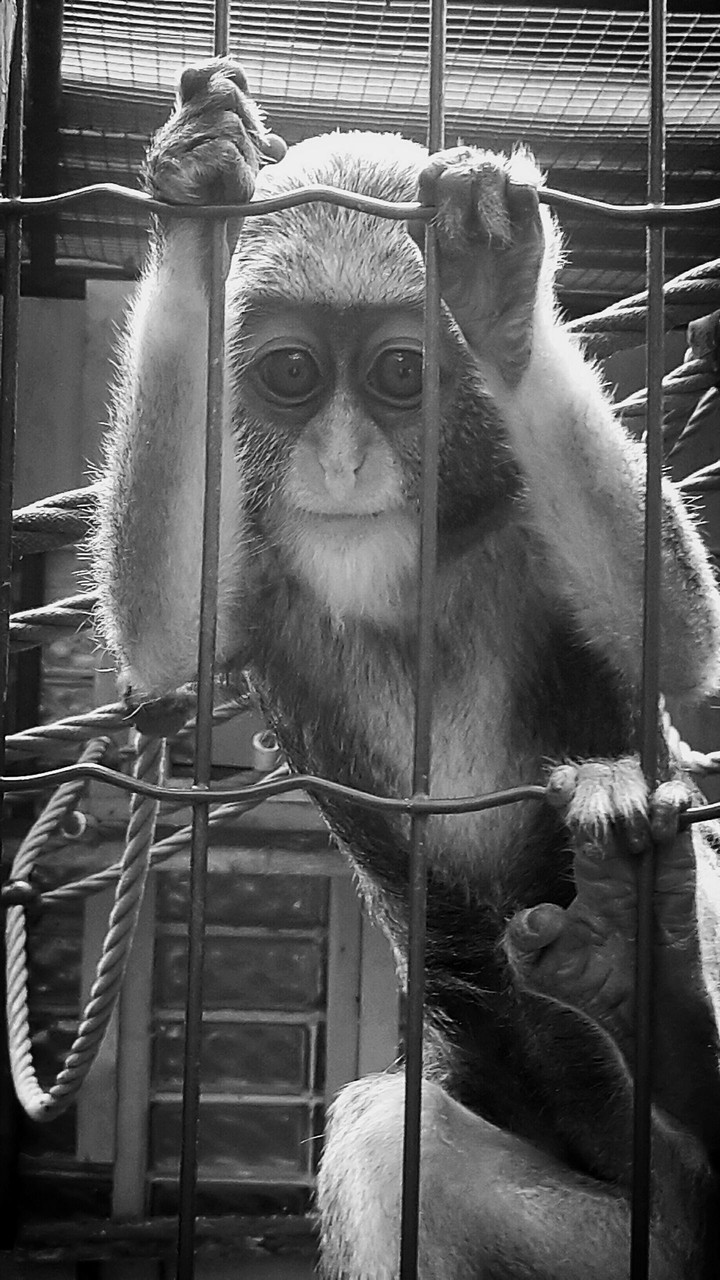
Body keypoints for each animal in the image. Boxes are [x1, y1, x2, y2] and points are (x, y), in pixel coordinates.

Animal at [91, 60, 720, 1278]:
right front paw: (197, 197)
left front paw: (501, 297)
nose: (342, 461)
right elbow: (169, 640)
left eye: (396, 373)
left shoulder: (517, 511)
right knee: (391, 1144)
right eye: (293, 373)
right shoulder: (260, 571)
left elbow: (680, 642)